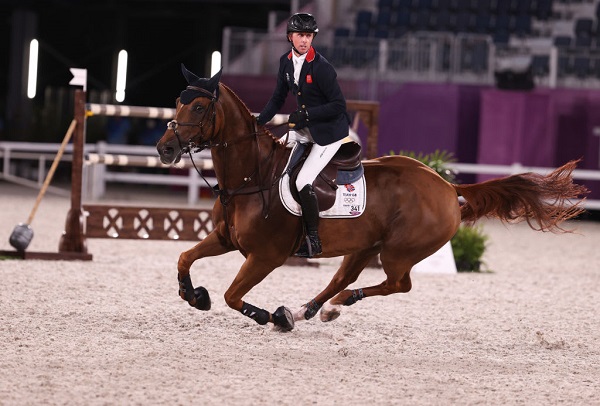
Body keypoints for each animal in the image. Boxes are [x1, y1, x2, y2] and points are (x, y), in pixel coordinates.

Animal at [157, 67, 588, 334]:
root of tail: (448, 188)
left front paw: (265, 316)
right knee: (341, 278)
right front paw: (193, 295)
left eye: (199, 106)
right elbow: (184, 257)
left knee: (397, 284)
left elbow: (233, 296)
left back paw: (326, 307)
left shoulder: (265, 256)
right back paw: (308, 310)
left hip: (398, 251)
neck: (251, 175)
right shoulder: (225, 238)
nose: (164, 149)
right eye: (177, 101)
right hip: (365, 245)